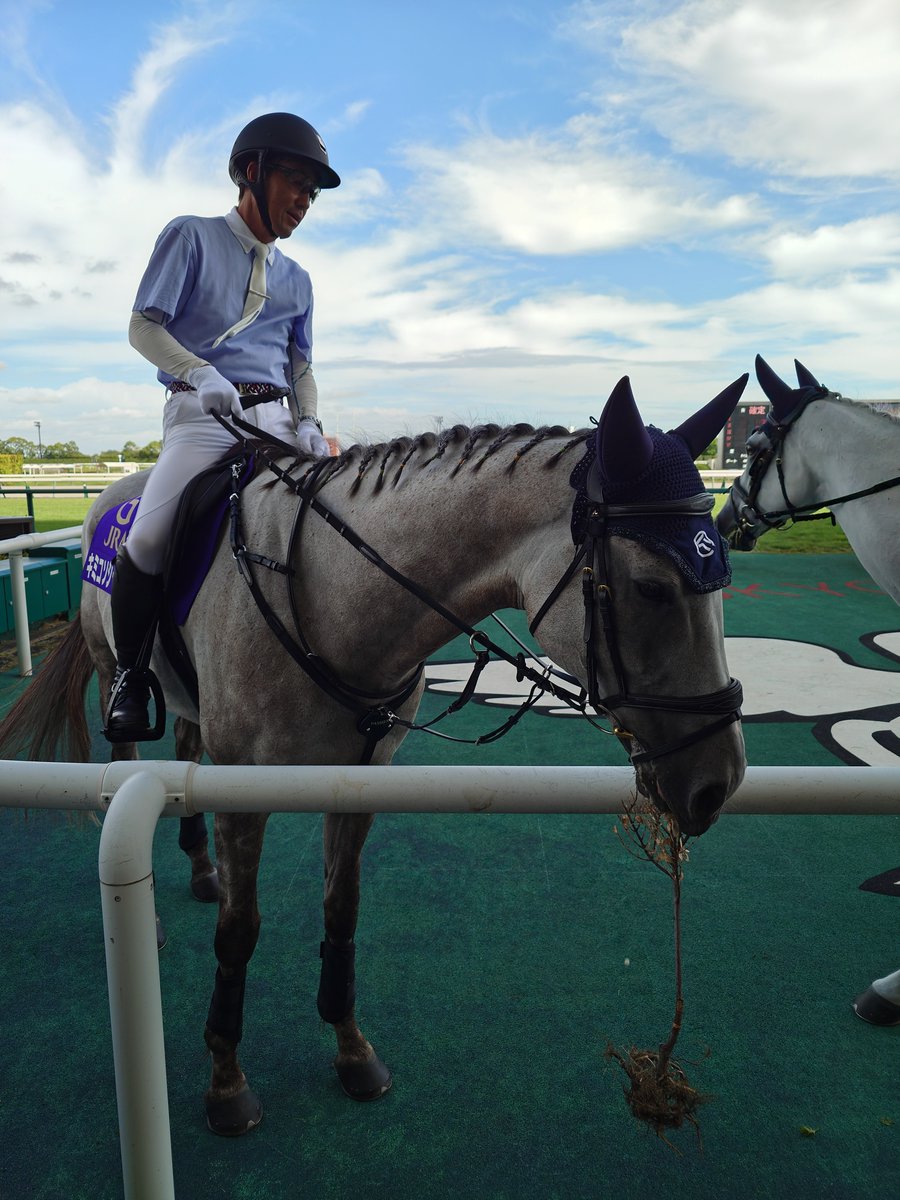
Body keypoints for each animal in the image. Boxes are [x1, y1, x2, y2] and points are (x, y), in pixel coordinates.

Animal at [0, 375, 748, 1134]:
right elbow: (239, 932)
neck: (327, 597)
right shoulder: (243, 794)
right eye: (651, 588)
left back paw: (202, 870)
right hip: (112, 670)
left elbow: (342, 909)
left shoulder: (361, 778)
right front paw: (226, 1080)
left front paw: (351, 1050)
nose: (718, 782)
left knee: (184, 746)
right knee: (125, 759)